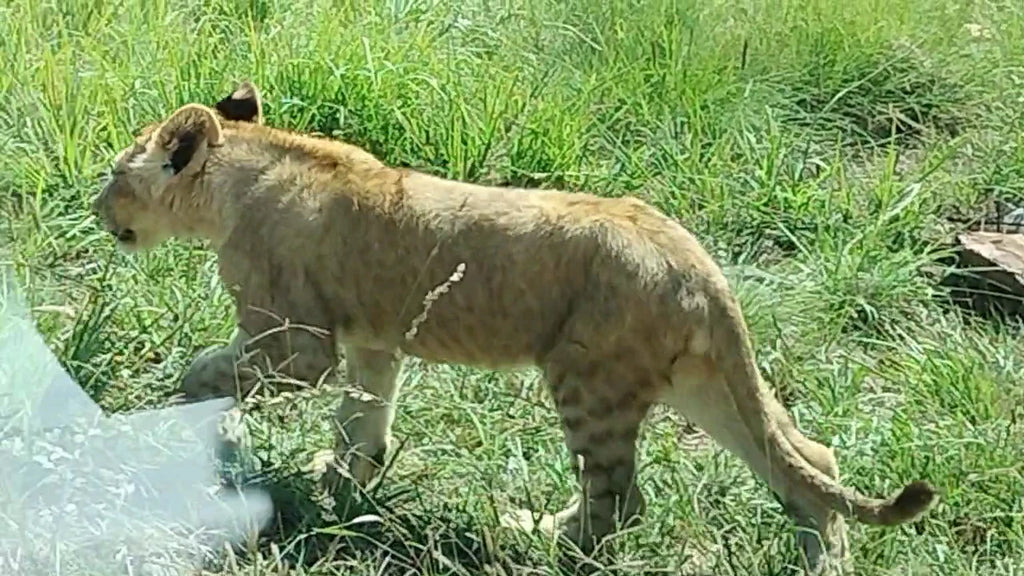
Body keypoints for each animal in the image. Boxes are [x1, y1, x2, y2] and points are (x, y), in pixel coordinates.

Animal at [90, 81, 937, 574]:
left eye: (113, 174)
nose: (97, 210)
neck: (246, 170)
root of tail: (696, 261)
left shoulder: (295, 343)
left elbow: (211, 370)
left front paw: (184, 420)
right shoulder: (371, 342)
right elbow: (363, 423)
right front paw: (339, 489)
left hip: (589, 377)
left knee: (620, 503)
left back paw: (532, 533)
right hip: (702, 385)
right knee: (806, 457)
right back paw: (821, 559)